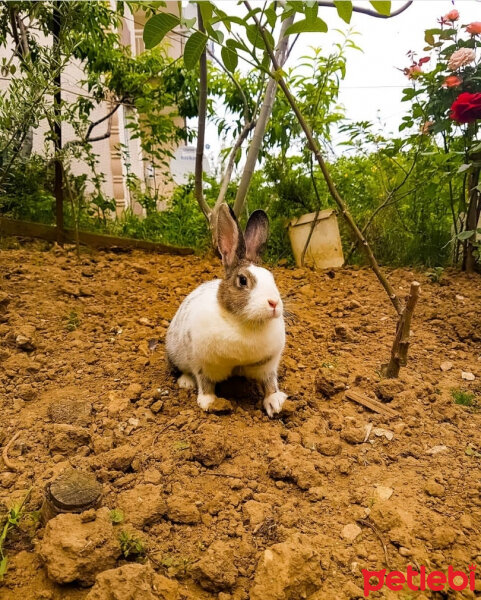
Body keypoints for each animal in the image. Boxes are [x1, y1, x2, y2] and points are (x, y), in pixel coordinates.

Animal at [166, 203, 284, 418]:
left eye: (272, 278)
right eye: (243, 280)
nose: (274, 303)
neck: (244, 323)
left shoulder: (267, 366)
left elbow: (270, 383)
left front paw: (275, 403)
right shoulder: (203, 364)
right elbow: (205, 383)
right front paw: (209, 402)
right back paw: (186, 382)